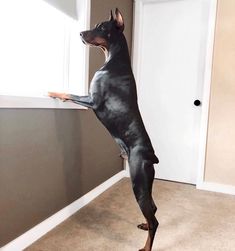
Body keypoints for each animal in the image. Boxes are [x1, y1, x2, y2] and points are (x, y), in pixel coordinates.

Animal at [49, 8, 160, 251]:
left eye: (101, 27)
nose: (81, 33)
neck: (114, 60)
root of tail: (152, 156)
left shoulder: (93, 100)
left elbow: (70, 93)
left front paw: (53, 92)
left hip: (138, 180)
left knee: (155, 219)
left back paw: (146, 246)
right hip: (145, 183)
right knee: (154, 211)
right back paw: (144, 226)